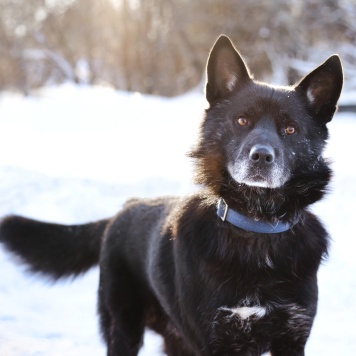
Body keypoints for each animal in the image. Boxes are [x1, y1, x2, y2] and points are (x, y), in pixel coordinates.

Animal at [1, 36, 344, 356]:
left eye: (290, 129)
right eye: (242, 120)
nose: (261, 156)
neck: (256, 228)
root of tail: (126, 207)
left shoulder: (291, 337)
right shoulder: (217, 338)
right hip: (123, 327)